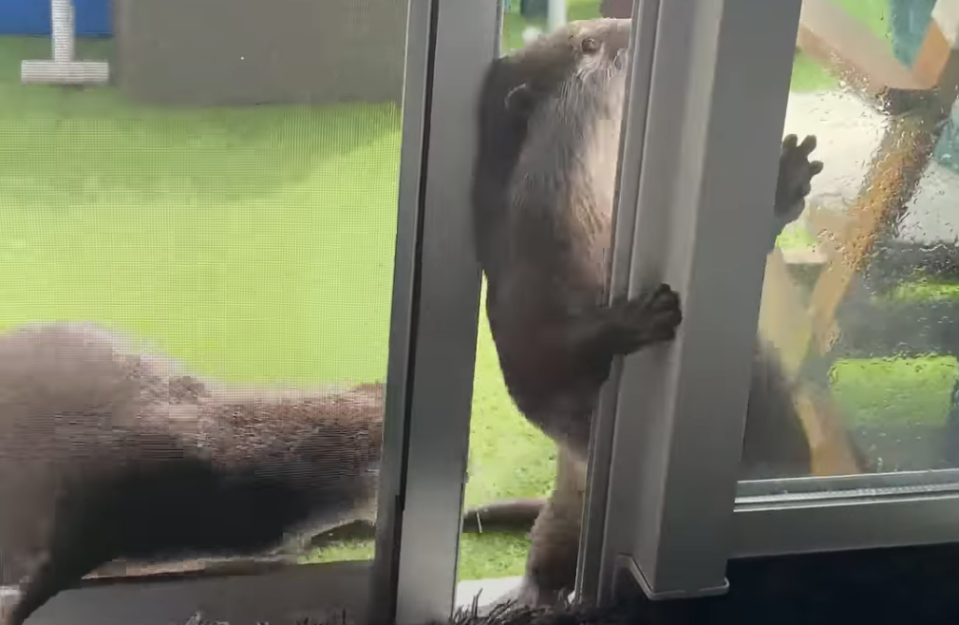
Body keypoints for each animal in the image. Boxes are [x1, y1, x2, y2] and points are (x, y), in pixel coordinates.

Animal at [470, 18, 824, 604]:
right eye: (587, 44)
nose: (626, 24)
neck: (590, 224)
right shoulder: (518, 301)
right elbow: (547, 365)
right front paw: (636, 319)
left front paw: (786, 178)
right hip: (564, 511)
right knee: (543, 560)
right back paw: (529, 600)